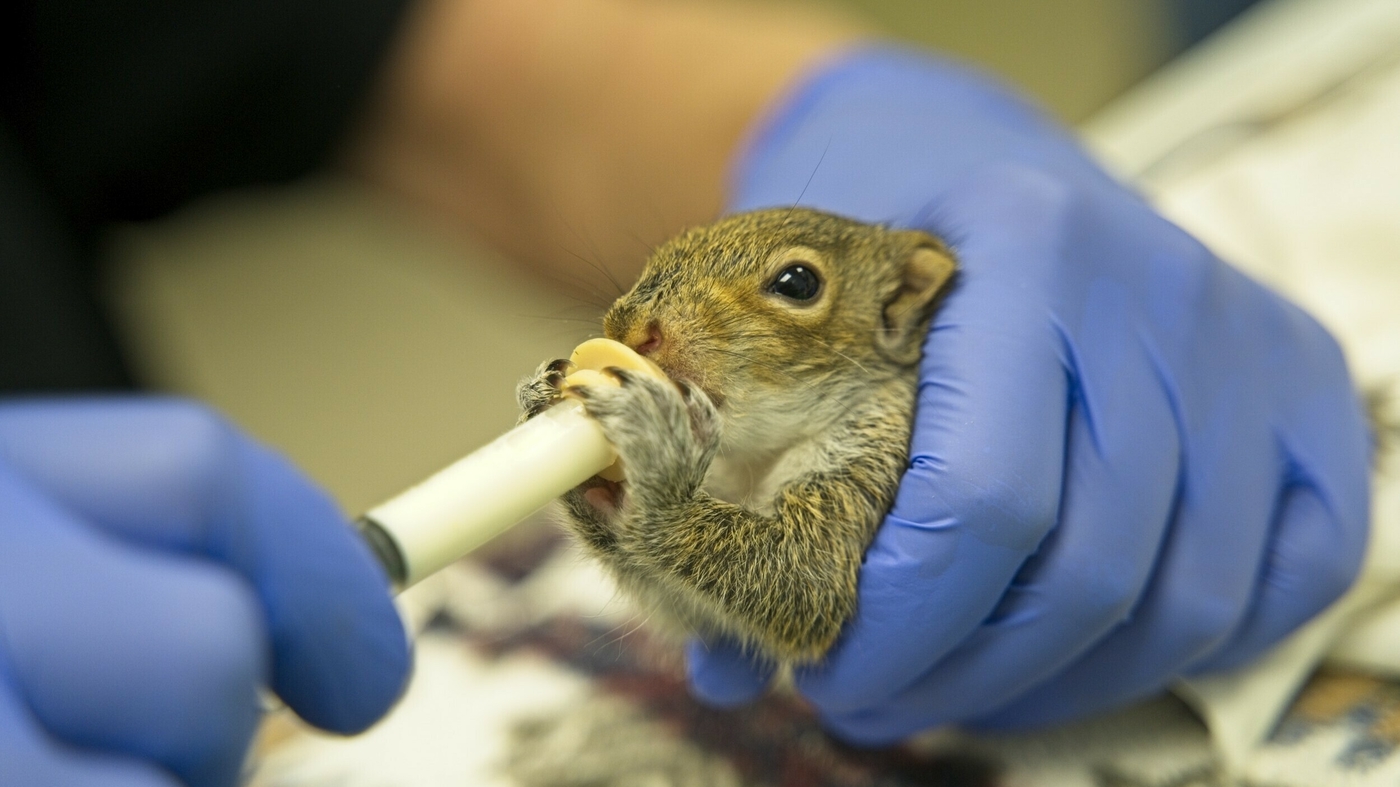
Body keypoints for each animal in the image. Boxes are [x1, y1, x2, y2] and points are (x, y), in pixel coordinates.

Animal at [516, 207, 956, 665]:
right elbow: (692, 615)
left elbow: (805, 579)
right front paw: (547, 403)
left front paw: (662, 464)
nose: (628, 328)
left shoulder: (866, 467)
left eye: (798, 283)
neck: (758, 455)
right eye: (671, 246)